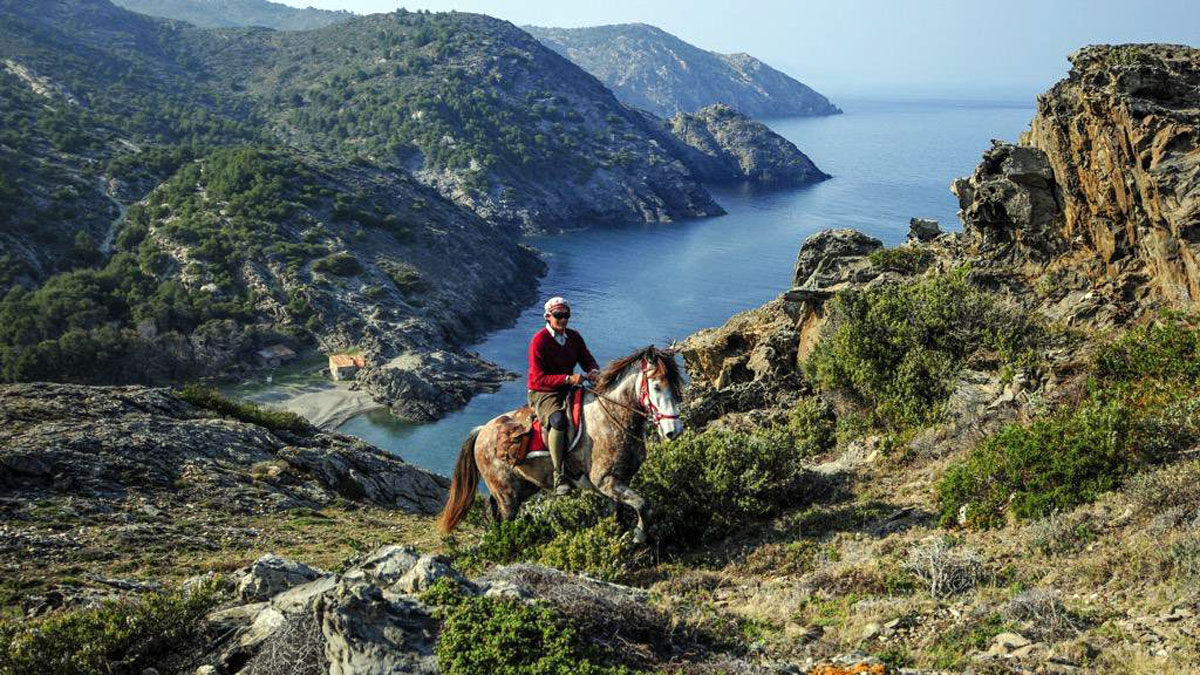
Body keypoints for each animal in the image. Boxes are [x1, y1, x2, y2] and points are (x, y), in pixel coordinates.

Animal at [439, 343, 686, 542]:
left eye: (677, 386)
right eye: (656, 386)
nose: (673, 431)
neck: (611, 418)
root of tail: (482, 431)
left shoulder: (618, 482)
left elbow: (618, 512)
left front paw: (620, 535)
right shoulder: (606, 481)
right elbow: (643, 505)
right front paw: (639, 536)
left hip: (521, 488)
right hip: (507, 496)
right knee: (506, 521)